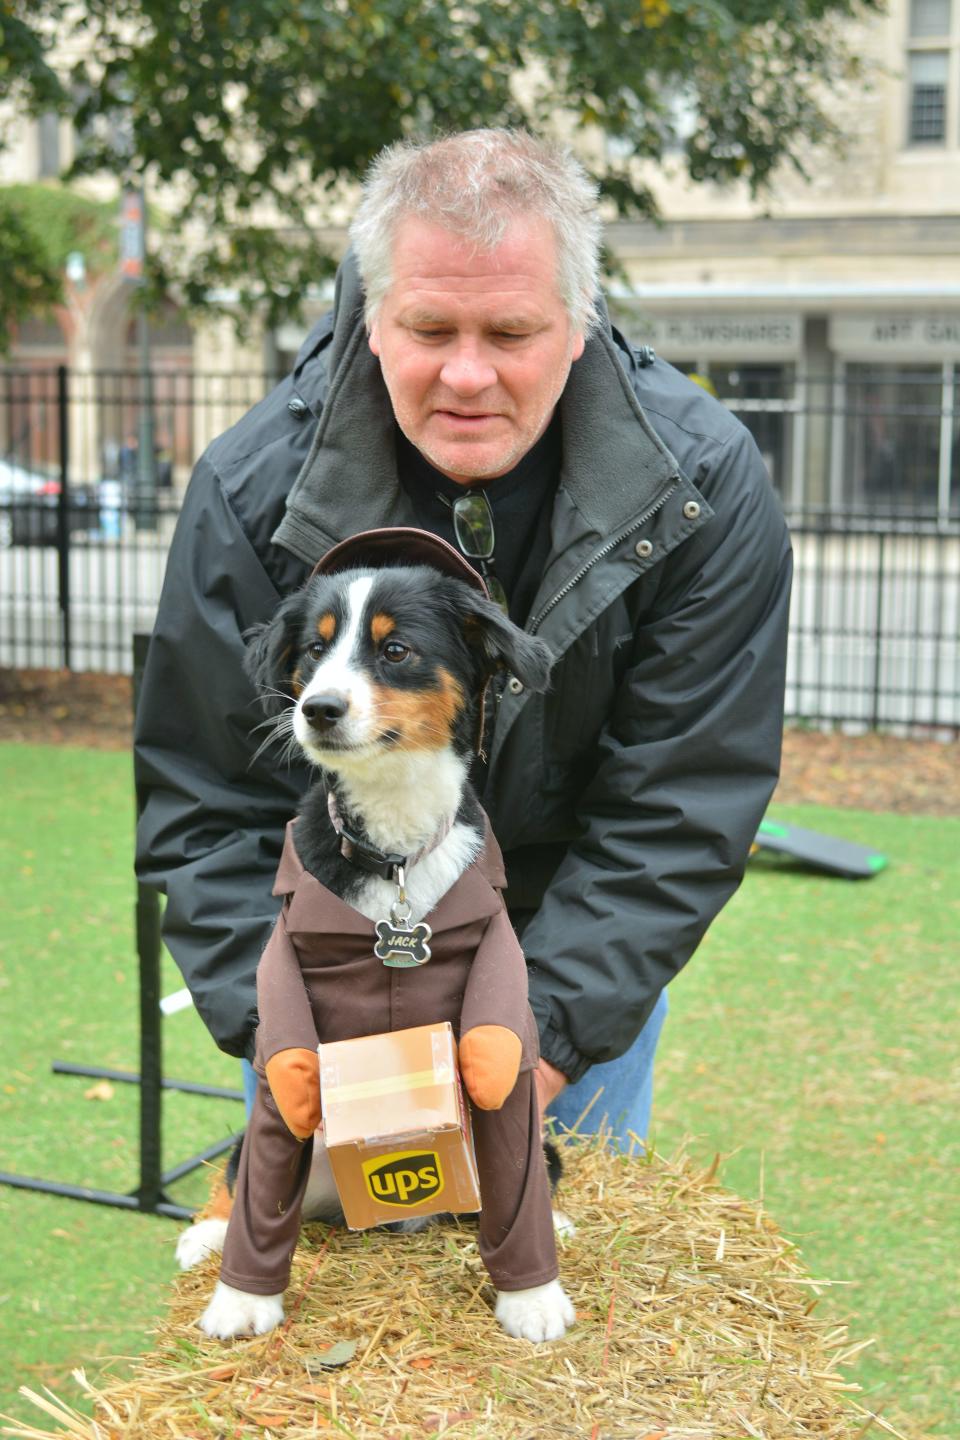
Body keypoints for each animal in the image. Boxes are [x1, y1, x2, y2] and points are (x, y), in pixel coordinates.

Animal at [176, 532, 575, 1347]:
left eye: (395, 650)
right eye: (313, 650)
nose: (319, 708)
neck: (393, 855)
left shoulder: (498, 1034)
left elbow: (516, 1163)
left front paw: (532, 1295)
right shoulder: (286, 1043)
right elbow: (263, 1172)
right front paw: (241, 1300)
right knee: (241, 1175)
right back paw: (208, 1230)